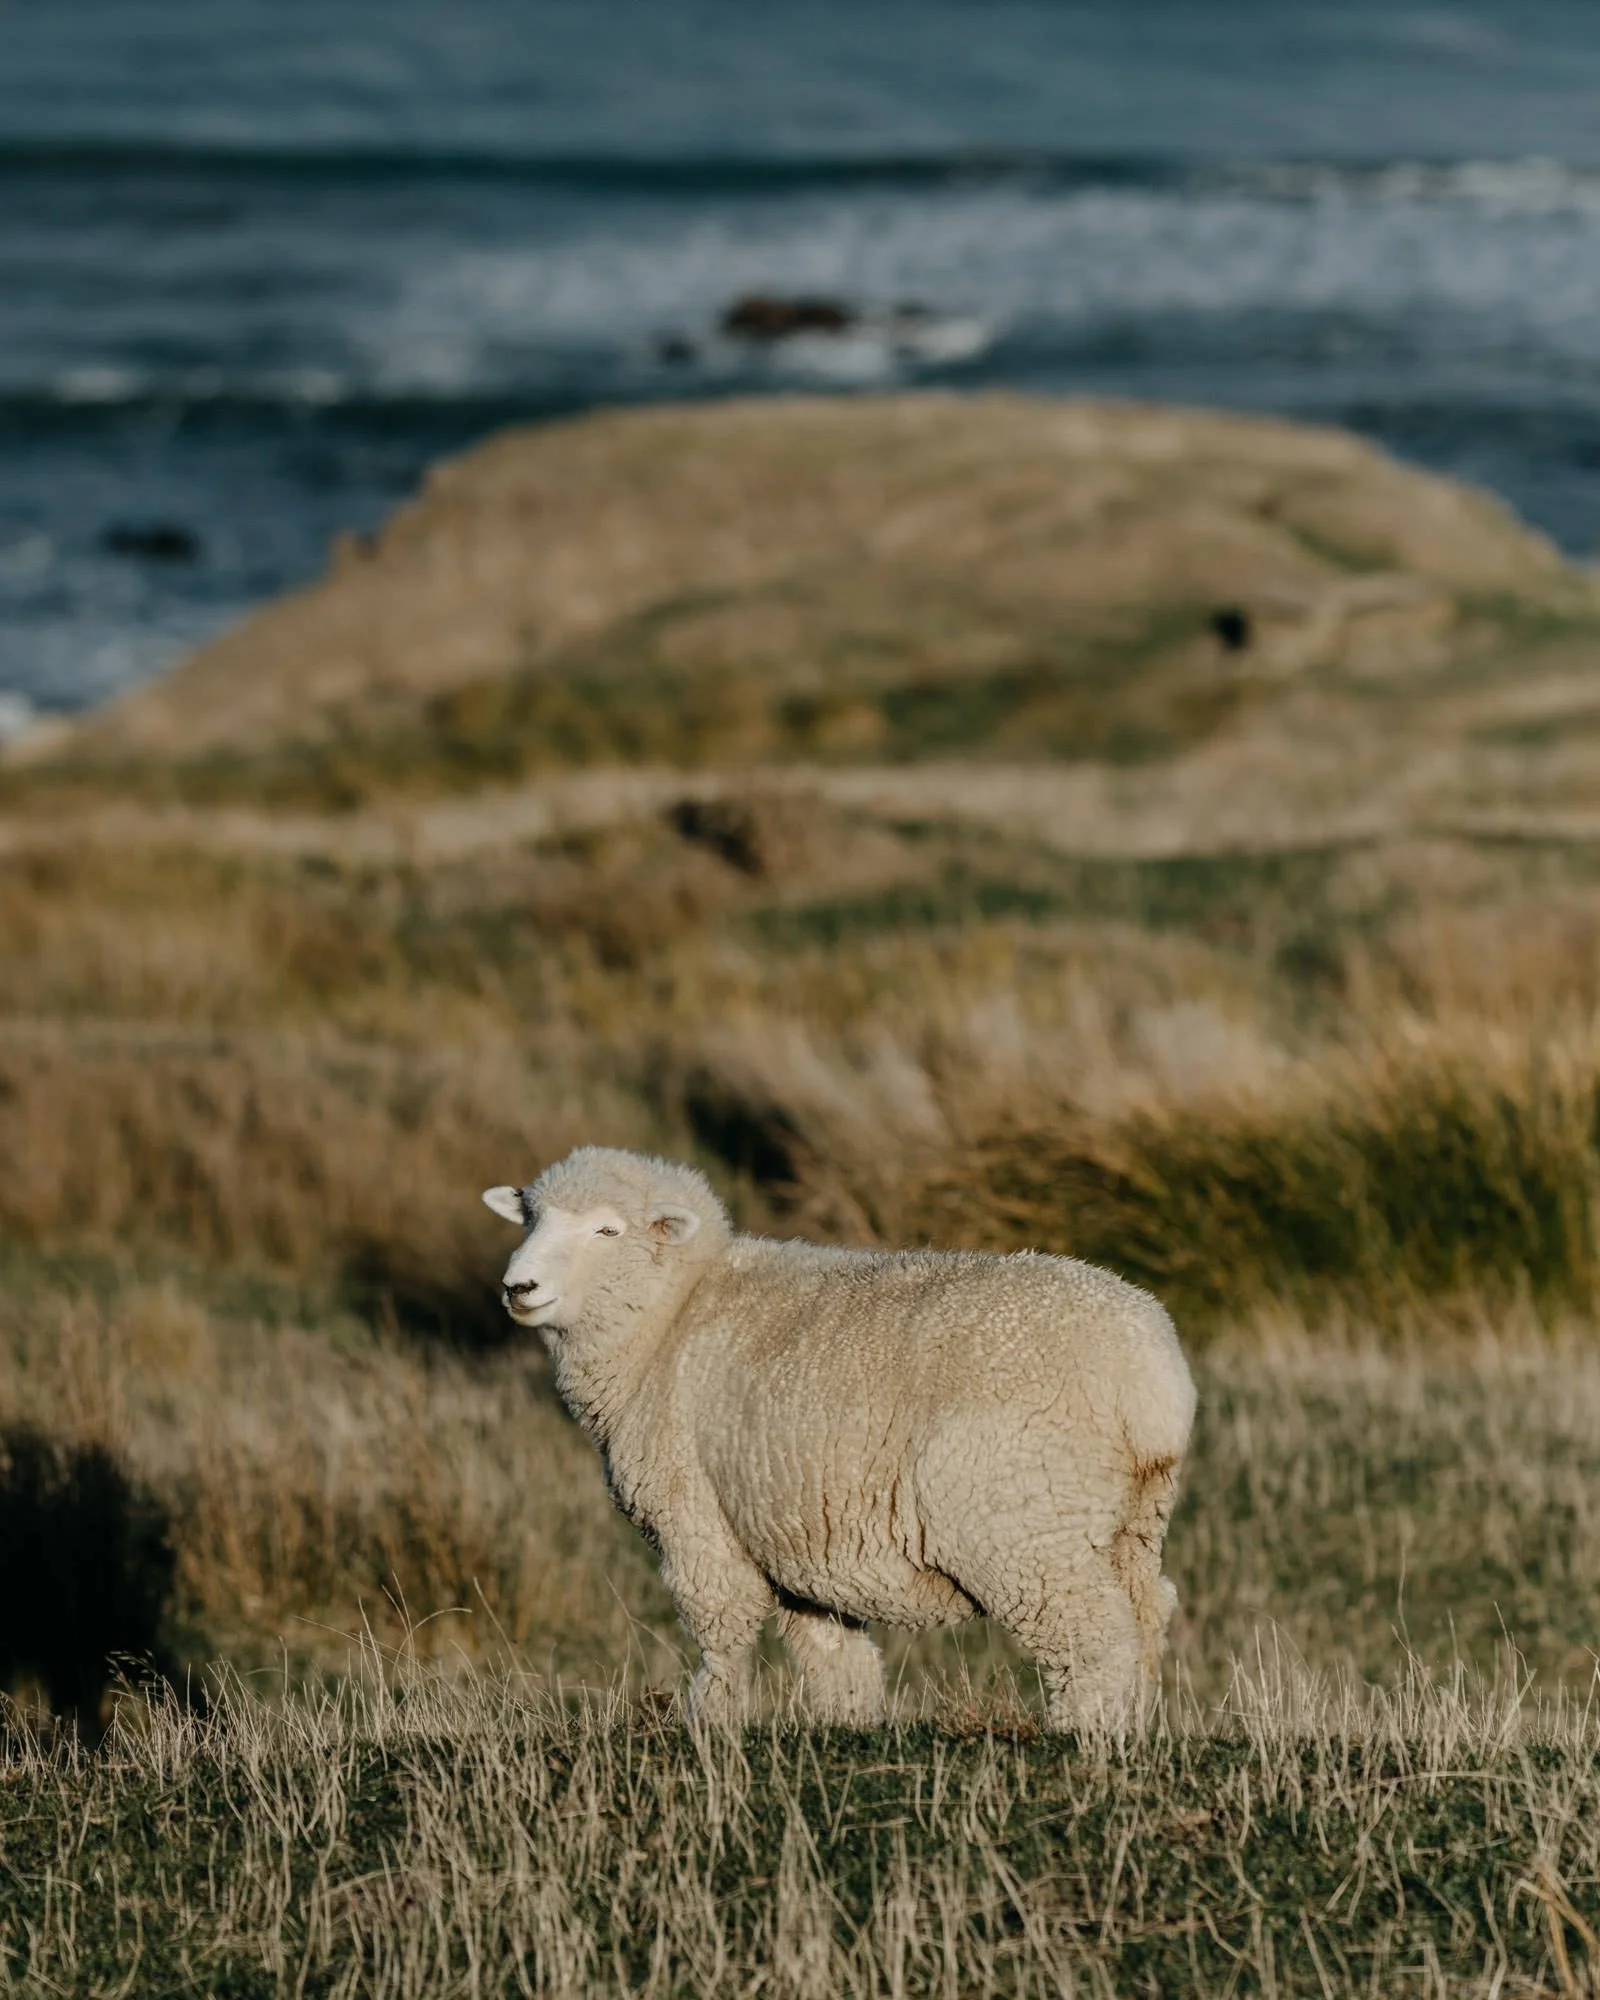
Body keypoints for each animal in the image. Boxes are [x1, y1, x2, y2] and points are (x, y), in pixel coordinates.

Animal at [483, 1146, 1195, 1733]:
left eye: (608, 1230)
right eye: (530, 1220)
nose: (518, 1288)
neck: (671, 1316)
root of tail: (1150, 1380)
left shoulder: (697, 1518)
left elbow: (723, 1634)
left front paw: (712, 1719)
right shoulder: (794, 1539)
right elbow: (832, 1652)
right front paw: (848, 1724)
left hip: (1025, 1518)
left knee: (1092, 1633)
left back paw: (1084, 1734)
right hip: (1130, 1520)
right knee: (1146, 1614)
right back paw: (1133, 1725)